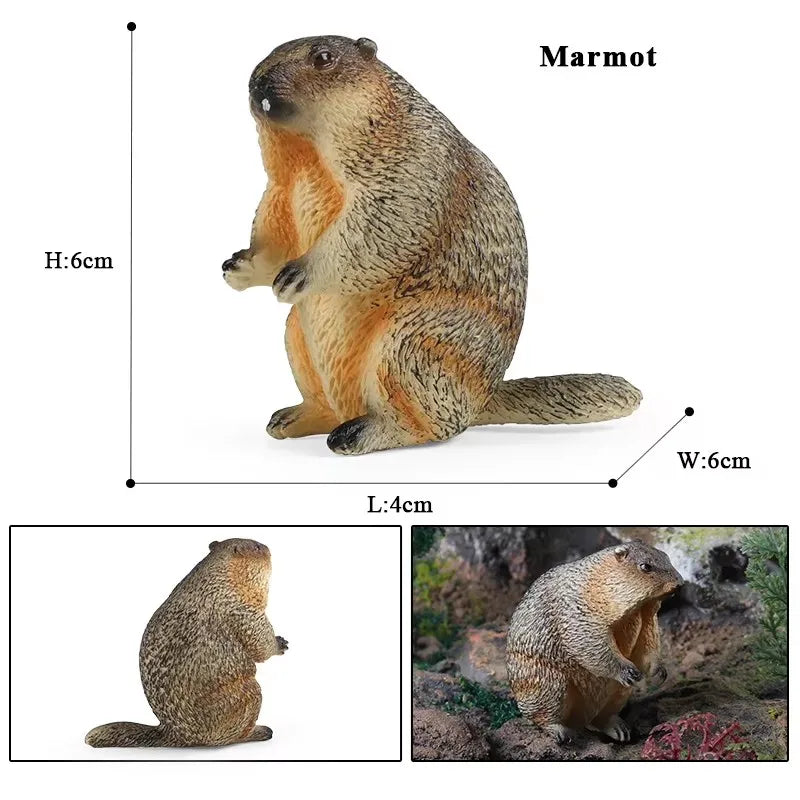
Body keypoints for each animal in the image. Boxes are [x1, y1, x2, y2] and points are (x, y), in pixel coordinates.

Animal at [85, 539, 288, 747]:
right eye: (256, 547)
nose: (268, 548)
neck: (220, 575)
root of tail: (173, 733)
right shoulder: (242, 608)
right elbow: (259, 638)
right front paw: (279, 644)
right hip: (248, 694)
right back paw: (258, 732)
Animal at [222, 35, 642, 455]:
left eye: (324, 58)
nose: (256, 83)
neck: (308, 154)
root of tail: (482, 400)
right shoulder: (281, 185)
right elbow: (274, 219)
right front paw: (238, 267)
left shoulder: (409, 158)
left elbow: (383, 218)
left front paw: (297, 273)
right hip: (297, 338)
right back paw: (290, 418)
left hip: (412, 346)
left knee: (427, 424)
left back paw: (357, 433)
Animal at [506, 541, 683, 743]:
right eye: (645, 566)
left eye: (667, 557)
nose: (680, 584)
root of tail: (581, 720)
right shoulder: (580, 604)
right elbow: (587, 636)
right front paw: (629, 671)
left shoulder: (647, 615)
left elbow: (648, 639)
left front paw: (659, 671)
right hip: (547, 683)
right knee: (541, 714)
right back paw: (560, 731)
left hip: (618, 693)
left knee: (603, 716)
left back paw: (620, 729)